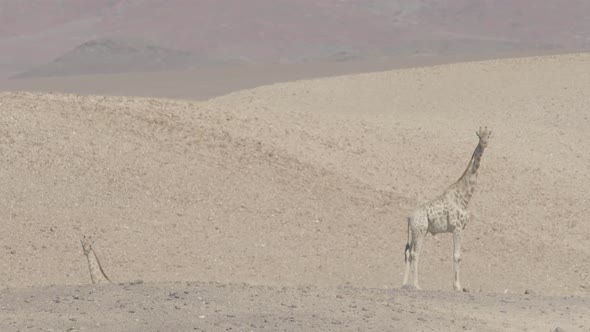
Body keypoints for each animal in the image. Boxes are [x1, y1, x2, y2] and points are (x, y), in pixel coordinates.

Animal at [402, 127, 494, 290]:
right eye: (479, 136)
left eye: (489, 135)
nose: (484, 143)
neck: (464, 197)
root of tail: (409, 217)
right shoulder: (457, 227)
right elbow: (457, 256)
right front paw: (457, 286)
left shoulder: (462, 228)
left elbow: (459, 255)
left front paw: (458, 285)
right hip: (420, 231)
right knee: (415, 253)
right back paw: (417, 285)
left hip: (417, 231)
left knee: (408, 252)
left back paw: (404, 284)